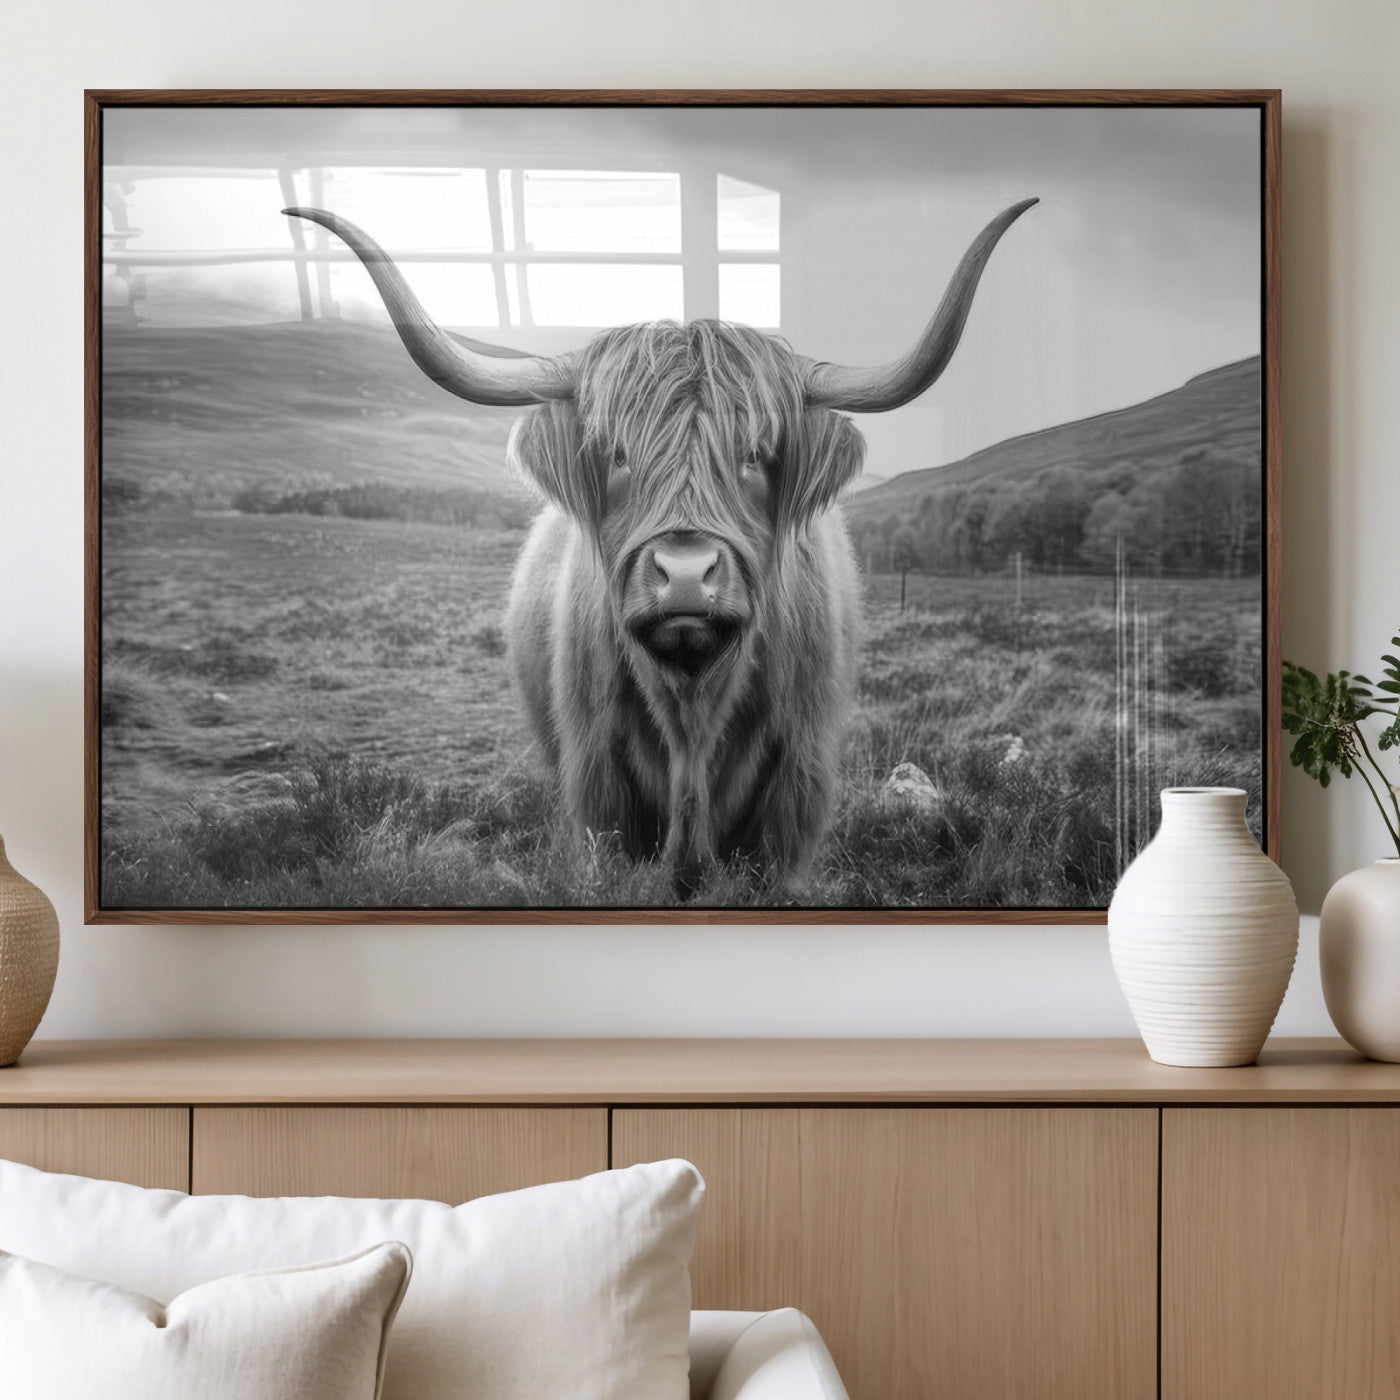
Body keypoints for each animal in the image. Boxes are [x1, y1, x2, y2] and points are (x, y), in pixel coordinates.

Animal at [285, 199, 1036, 898]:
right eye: (617, 454)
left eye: (756, 454)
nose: (684, 575)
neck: (692, 708)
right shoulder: (599, 779)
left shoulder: (795, 782)